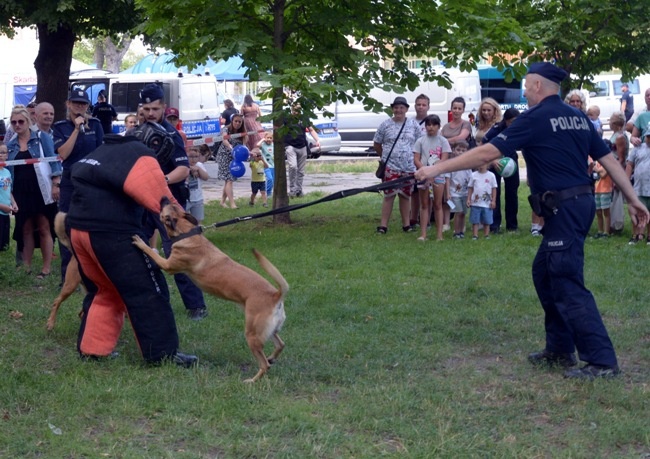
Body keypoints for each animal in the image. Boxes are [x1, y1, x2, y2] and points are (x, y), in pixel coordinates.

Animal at [132, 196, 288, 382]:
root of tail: (275, 295)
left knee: (264, 365)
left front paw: (141, 242)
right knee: (280, 345)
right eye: (171, 204)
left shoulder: (168, 265)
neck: (186, 232)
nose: (163, 197)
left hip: (252, 335)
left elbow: (151, 252)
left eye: (165, 208)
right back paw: (271, 358)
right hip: (268, 331)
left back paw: (252, 380)